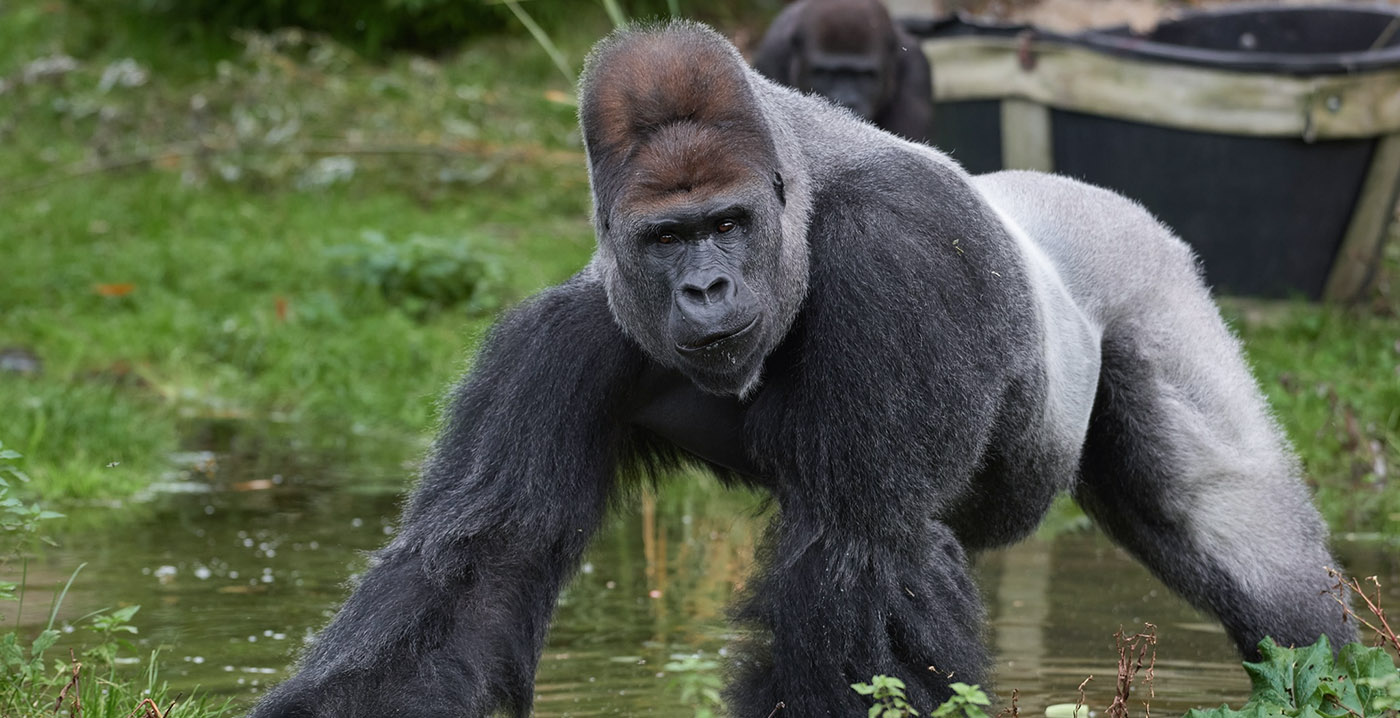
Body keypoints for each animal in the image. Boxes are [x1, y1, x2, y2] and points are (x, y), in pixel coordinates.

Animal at [254, 19, 1355, 713]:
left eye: (726, 222)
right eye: (666, 238)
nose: (704, 288)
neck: (801, 190)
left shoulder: (900, 257)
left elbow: (859, 553)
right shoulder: (558, 339)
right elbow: (473, 575)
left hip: (1148, 271)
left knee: (1246, 550)